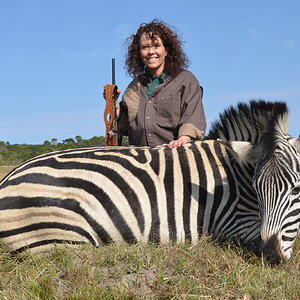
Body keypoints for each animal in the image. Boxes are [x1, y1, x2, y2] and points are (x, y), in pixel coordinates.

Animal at [0, 99, 298, 264]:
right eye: (257, 190)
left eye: (296, 189)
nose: (271, 258)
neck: (234, 174)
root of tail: (7, 178)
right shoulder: (233, 222)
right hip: (66, 238)